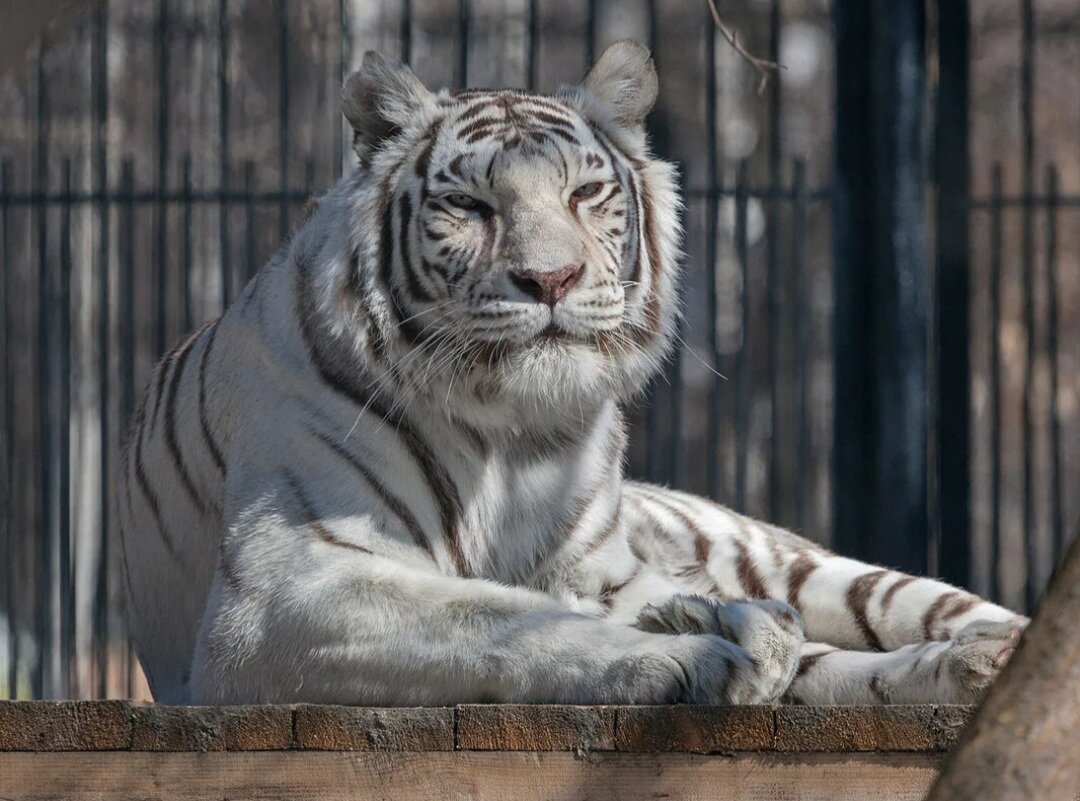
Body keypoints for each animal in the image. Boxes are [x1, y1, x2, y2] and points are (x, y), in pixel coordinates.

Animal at [122, 40, 1023, 703]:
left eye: (587, 194)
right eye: (469, 207)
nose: (550, 279)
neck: (510, 434)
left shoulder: (603, 563)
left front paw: (714, 626)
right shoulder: (283, 590)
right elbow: (499, 614)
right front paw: (694, 649)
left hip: (807, 563)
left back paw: (986, 653)